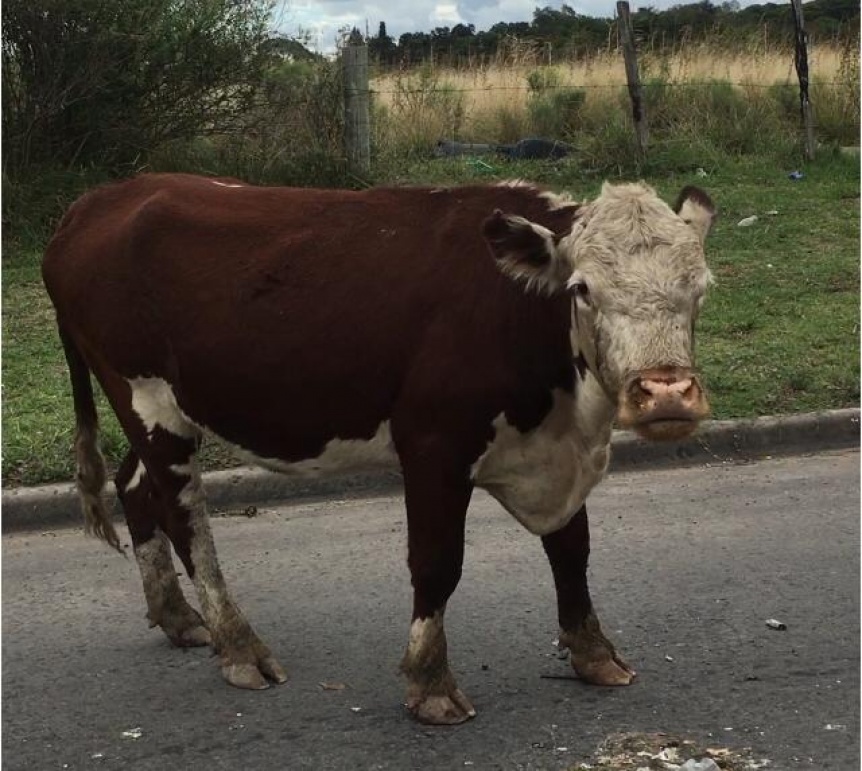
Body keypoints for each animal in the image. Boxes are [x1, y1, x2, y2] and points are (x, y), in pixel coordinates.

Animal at [42, 173, 716, 724]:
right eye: (582, 288)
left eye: (700, 288)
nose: (666, 394)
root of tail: (99, 200)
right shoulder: (433, 444)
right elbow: (438, 563)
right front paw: (431, 682)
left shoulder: (557, 452)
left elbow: (571, 549)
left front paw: (593, 652)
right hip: (147, 399)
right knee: (185, 519)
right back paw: (239, 645)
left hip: (162, 409)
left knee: (136, 488)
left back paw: (179, 617)